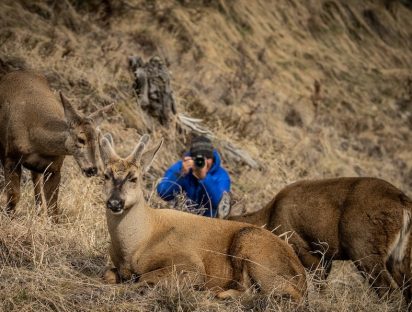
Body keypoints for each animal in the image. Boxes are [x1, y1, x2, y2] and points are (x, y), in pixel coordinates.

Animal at [0, 70, 113, 217]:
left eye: (97, 139)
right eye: (80, 139)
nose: (92, 169)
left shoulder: (55, 167)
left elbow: (53, 207)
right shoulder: (10, 158)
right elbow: (14, 195)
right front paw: (8, 216)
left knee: (35, 179)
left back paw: (38, 210)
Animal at [99, 133, 306, 302]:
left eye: (133, 178)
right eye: (106, 175)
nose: (115, 202)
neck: (138, 243)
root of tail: (302, 277)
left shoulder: (191, 265)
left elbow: (143, 278)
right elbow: (107, 274)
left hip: (252, 245)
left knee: (274, 291)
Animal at [219, 178, 412, 304]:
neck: (269, 217)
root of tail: (403, 203)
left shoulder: (300, 244)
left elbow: (318, 283)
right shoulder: (326, 255)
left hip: (362, 246)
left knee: (389, 292)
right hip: (399, 256)